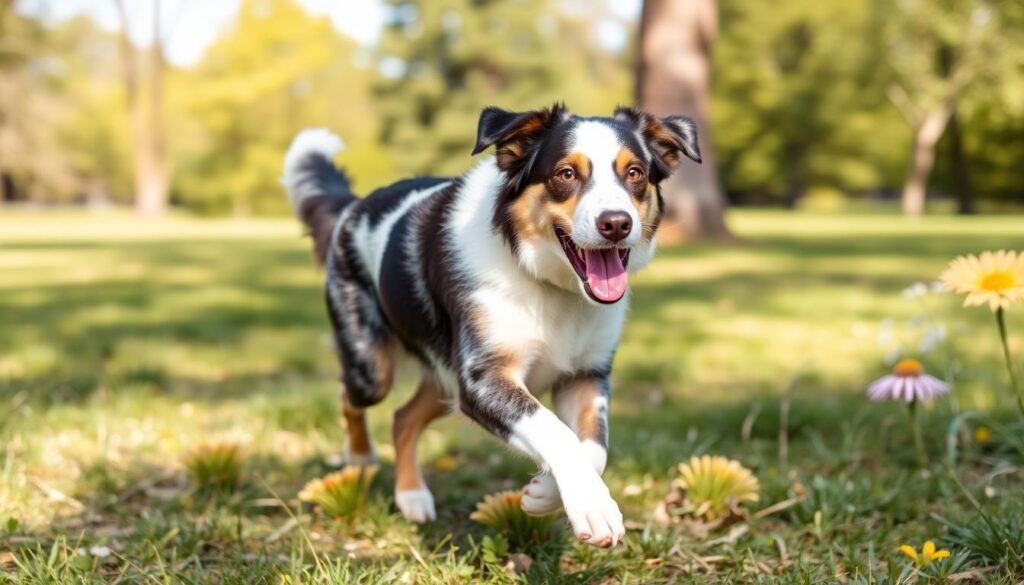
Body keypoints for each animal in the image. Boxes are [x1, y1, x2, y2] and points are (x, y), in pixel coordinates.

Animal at [280, 102, 700, 549]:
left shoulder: (585, 376)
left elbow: (594, 448)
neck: (549, 285)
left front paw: (546, 493)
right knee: (352, 395)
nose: (617, 223)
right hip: (372, 367)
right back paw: (359, 458)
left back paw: (411, 495)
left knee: (403, 417)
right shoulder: (482, 378)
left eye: (635, 172)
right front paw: (593, 507)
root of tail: (353, 207)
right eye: (566, 174)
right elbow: (555, 432)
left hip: (445, 377)